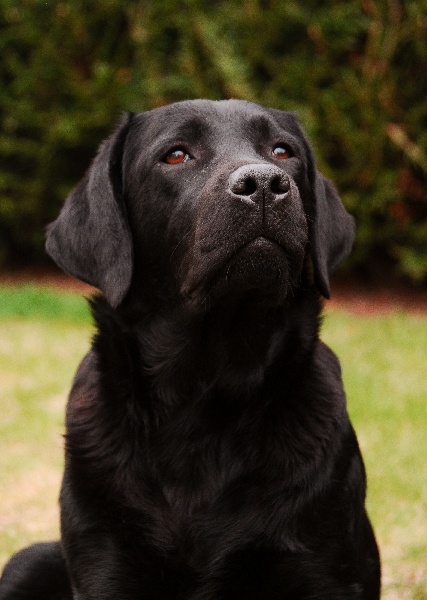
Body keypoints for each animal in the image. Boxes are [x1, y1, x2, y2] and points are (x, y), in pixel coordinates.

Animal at [0, 101, 382, 596]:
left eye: (282, 151)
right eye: (176, 155)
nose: (265, 183)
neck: (204, 394)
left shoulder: (322, 567)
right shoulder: (106, 561)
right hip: (28, 560)